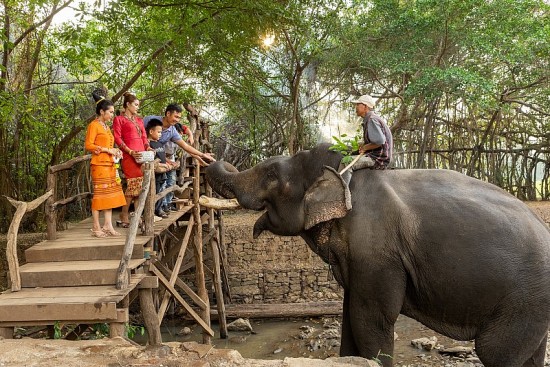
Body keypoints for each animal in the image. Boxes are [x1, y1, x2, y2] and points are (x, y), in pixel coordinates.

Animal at [206, 144, 550, 367]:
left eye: (272, 175)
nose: (210, 157)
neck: (343, 174)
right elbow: (349, 315)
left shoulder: (377, 254)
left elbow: (371, 319)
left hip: (524, 299)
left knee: (495, 352)